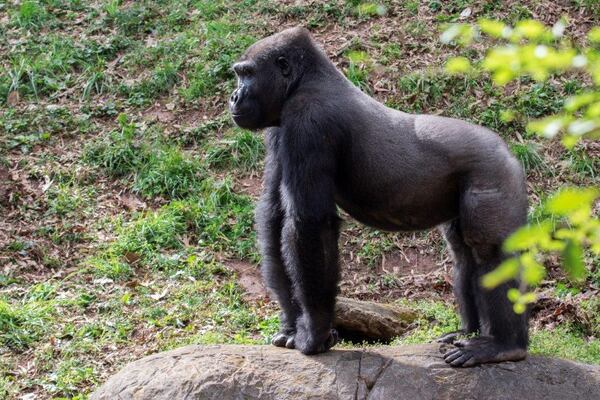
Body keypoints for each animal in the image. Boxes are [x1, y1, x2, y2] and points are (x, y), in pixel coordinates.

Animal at [227, 26, 528, 368]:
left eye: (247, 74)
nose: (234, 96)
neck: (306, 78)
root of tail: (508, 150)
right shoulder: (282, 127)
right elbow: (273, 214)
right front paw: (292, 324)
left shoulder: (308, 121)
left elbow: (309, 222)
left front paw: (315, 333)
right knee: (464, 254)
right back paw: (469, 331)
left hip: (494, 173)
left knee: (489, 252)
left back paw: (504, 345)